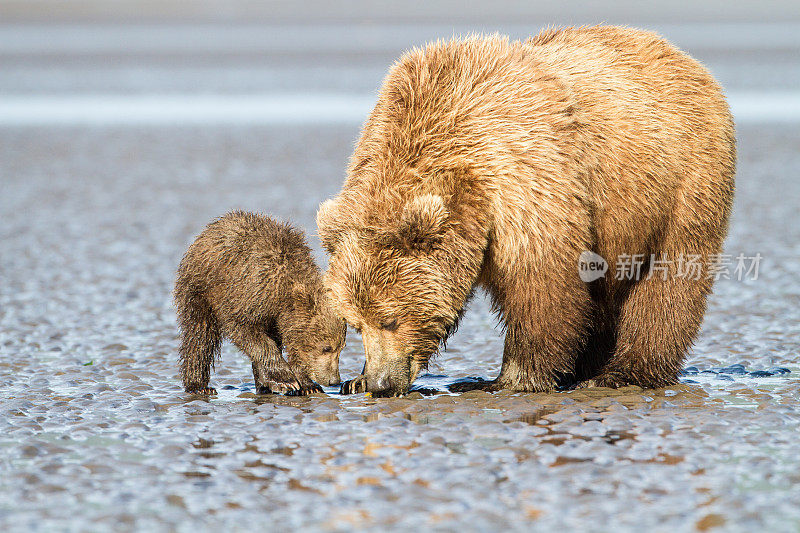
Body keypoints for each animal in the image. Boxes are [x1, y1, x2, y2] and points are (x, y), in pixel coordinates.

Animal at [175, 212, 344, 394]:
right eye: (326, 348)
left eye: (341, 348)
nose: (334, 380)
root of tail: (205, 233)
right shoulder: (250, 292)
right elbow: (246, 331)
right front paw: (286, 378)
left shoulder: (275, 316)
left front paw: (307, 385)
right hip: (200, 288)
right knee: (200, 335)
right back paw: (199, 386)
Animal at [318, 27, 736, 396]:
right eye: (356, 324)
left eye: (390, 320)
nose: (381, 383)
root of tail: (689, 61)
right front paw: (354, 381)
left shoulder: (525, 172)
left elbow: (541, 280)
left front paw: (503, 379)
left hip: (678, 183)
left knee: (668, 282)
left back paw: (619, 374)